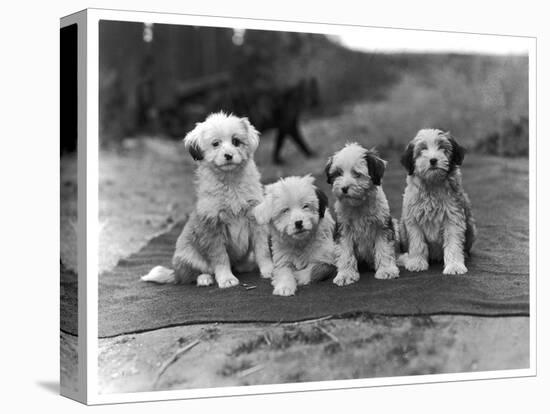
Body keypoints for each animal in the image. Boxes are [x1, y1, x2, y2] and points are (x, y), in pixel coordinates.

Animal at [141, 111, 272, 290]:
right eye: (215, 144)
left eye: (236, 141)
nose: (228, 155)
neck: (230, 183)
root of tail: (175, 272)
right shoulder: (213, 227)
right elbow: (220, 257)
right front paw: (226, 279)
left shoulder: (256, 219)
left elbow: (262, 249)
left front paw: (269, 270)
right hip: (188, 255)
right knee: (192, 275)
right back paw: (204, 279)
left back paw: (245, 265)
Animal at [328, 142, 402, 284]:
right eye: (338, 173)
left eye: (356, 173)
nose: (344, 188)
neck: (358, 206)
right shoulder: (343, 229)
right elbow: (345, 252)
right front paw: (345, 275)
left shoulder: (382, 226)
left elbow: (384, 248)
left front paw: (386, 270)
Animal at [398, 128, 476, 274]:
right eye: (422, 149)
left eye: (442, 147)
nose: (433, 160)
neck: (432, 184)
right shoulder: (413, 219)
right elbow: (417, 243)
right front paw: (417, 262)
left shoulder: (453, 217)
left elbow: (453, 243)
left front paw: (455, 266)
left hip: (471, 227)